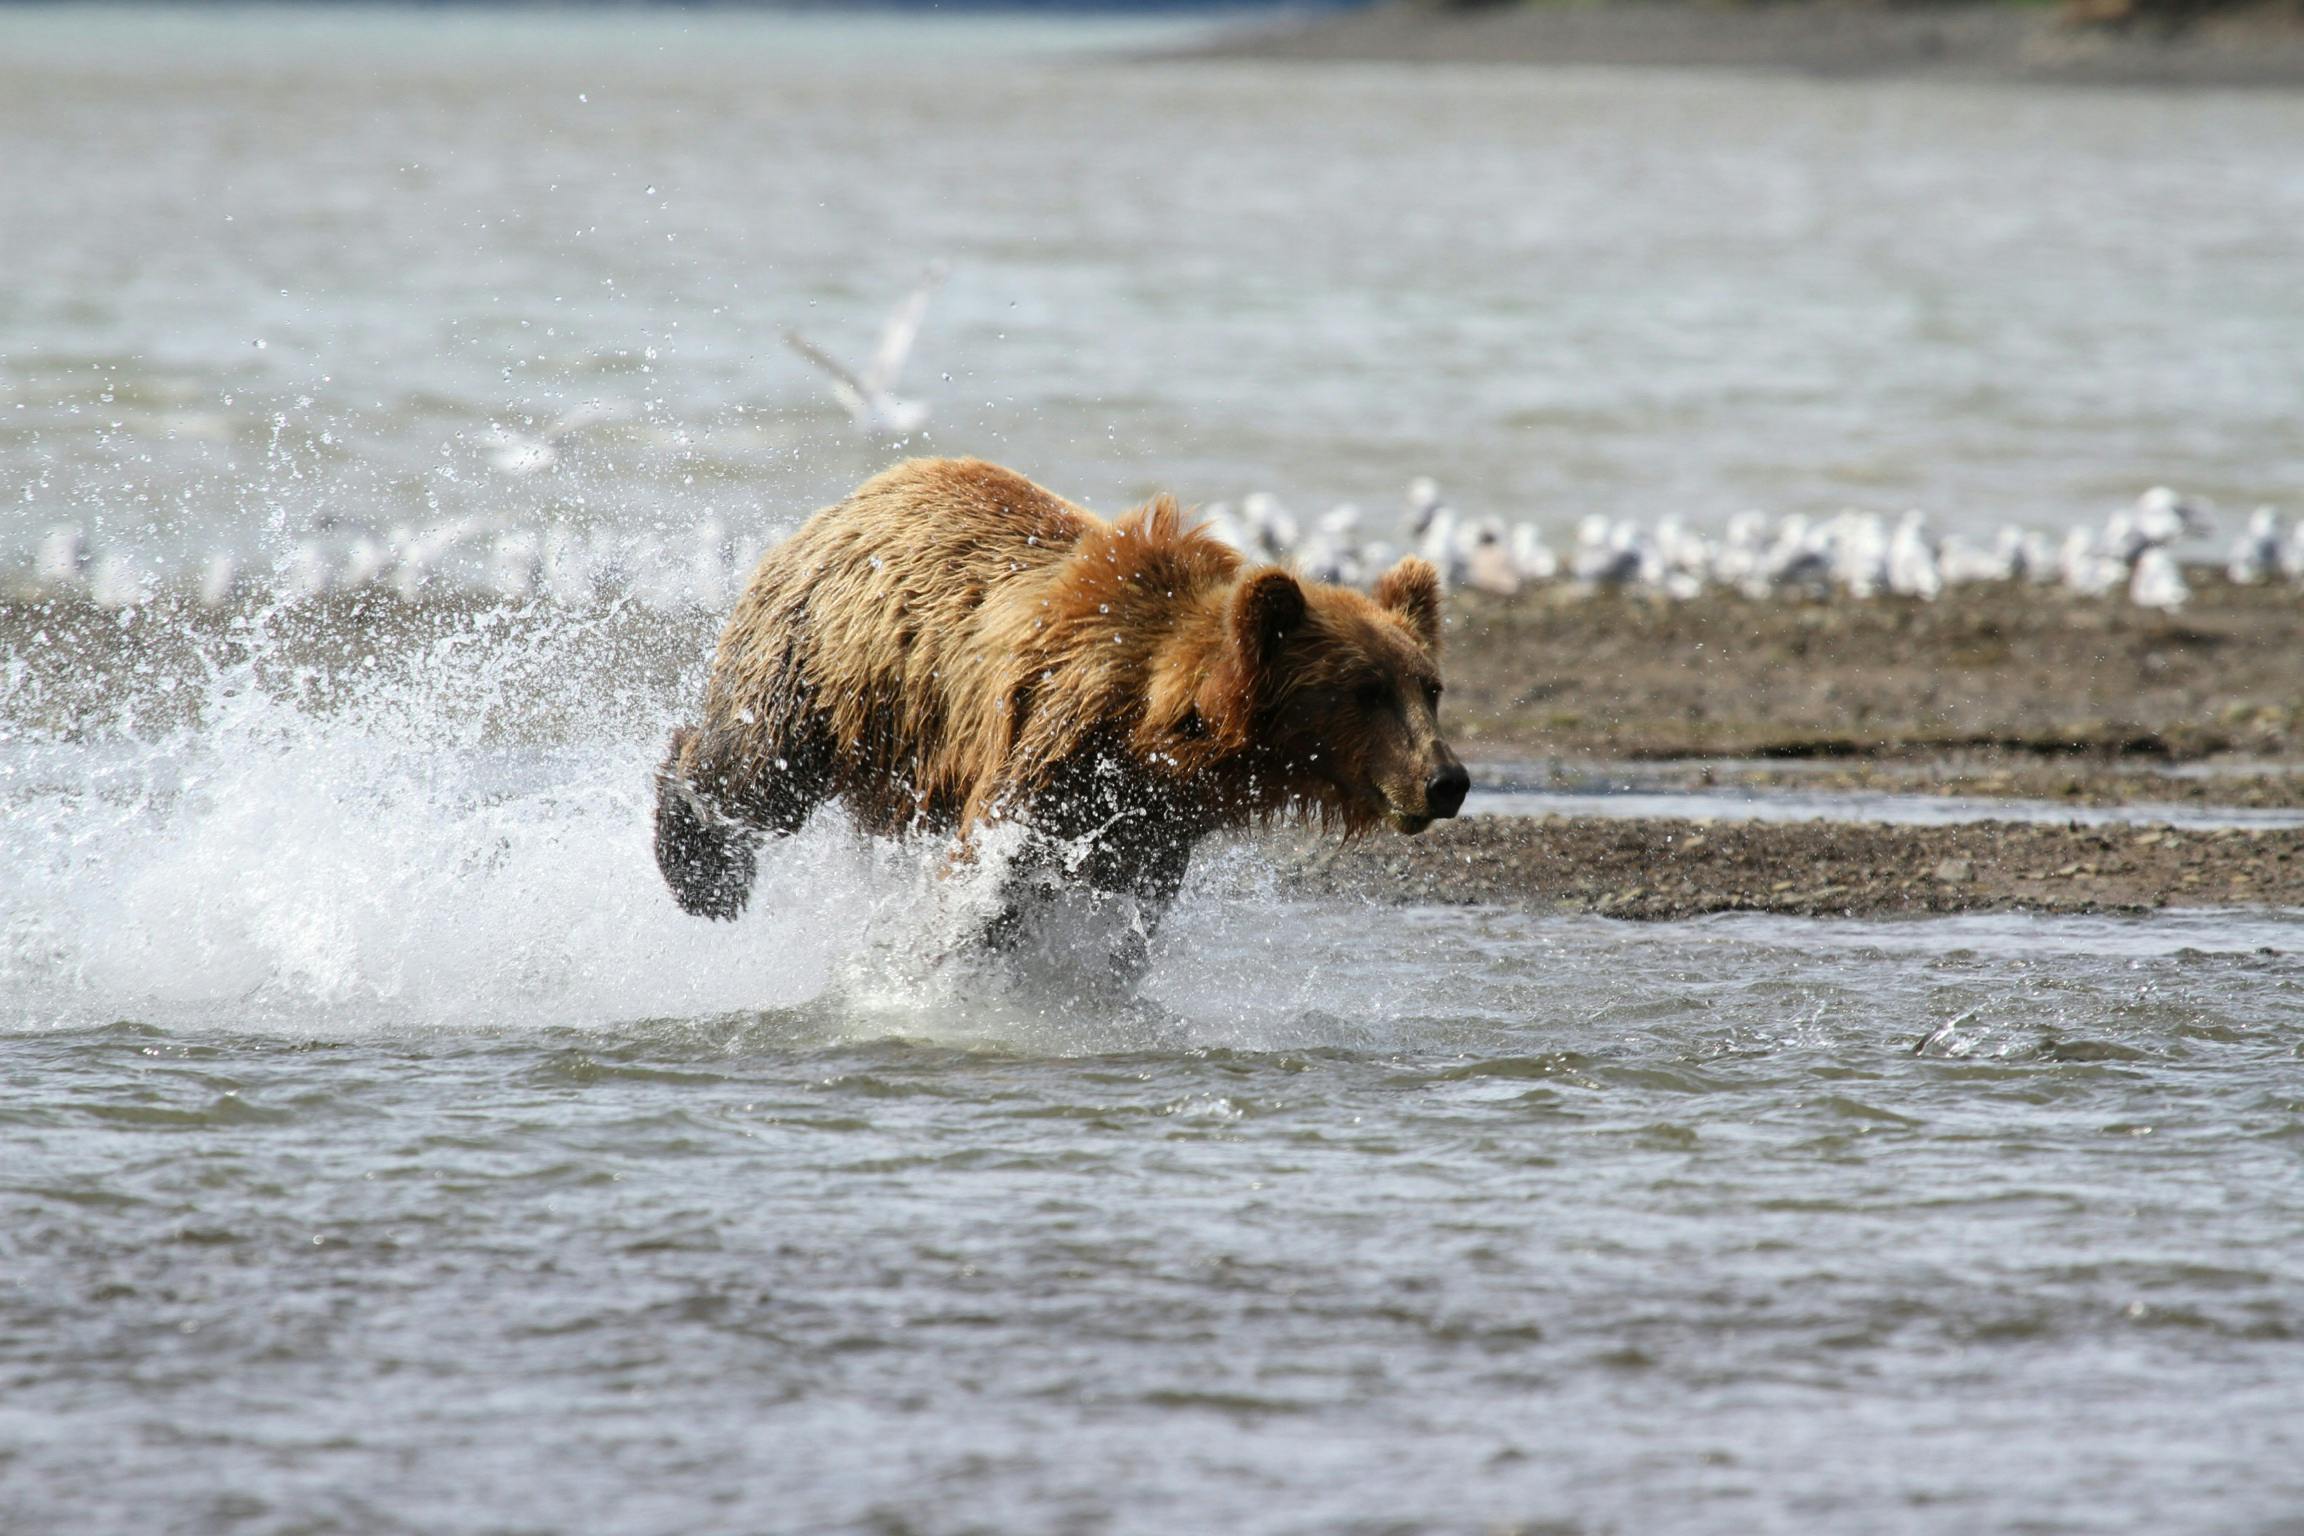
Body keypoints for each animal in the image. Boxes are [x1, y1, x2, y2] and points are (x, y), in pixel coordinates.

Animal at [652, 457, 1467, 965]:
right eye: (1365, 690)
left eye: (1428, 686)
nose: (1446, 780)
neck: (1166, 729)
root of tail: (854, 497)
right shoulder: (1061, 740)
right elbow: (999, 867)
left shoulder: (1155, 820)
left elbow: (1123, 904)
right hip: (825, 659)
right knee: (752, 774)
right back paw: (701, 871)